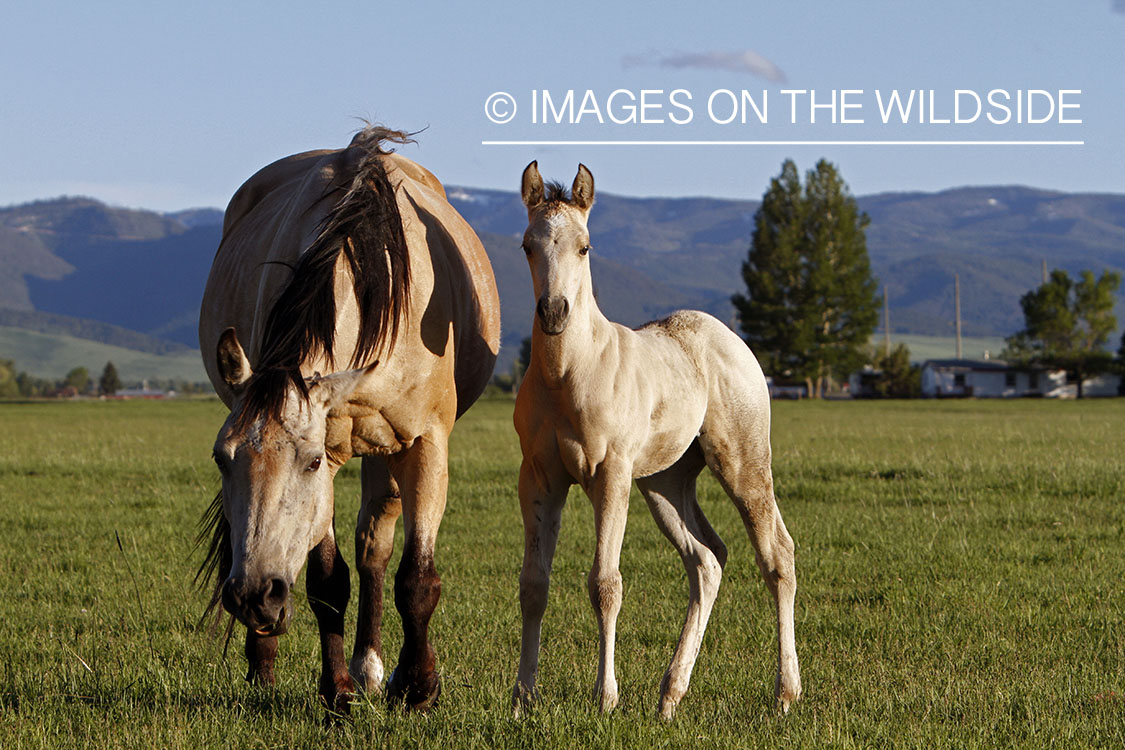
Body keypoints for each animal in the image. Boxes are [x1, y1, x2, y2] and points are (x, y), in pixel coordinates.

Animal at [196, 126, 500, 714]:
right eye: (222, 459)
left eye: (309, 462)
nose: (253, 596)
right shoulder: (338, 448)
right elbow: (327, 582)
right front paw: (335, 690)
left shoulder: (425, 445)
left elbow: (417, 579)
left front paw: (419, 686)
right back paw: (276, 666)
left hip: (387, 453)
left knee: (375, 548)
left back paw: (375, 668)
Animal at [511, 162, 801, 719]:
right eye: (527, 245)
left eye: (585, 246)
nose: (553, 312)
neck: (567, 376)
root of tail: (732, 340)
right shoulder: (538, 479)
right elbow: (534, 585)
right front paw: (522, 699)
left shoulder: (611, 475)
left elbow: (605, 584)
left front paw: (605, 699)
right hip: (665, 483)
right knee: (707, 560)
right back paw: (670, 695)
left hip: (743, 462)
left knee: (777, 555)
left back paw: (784, 694)